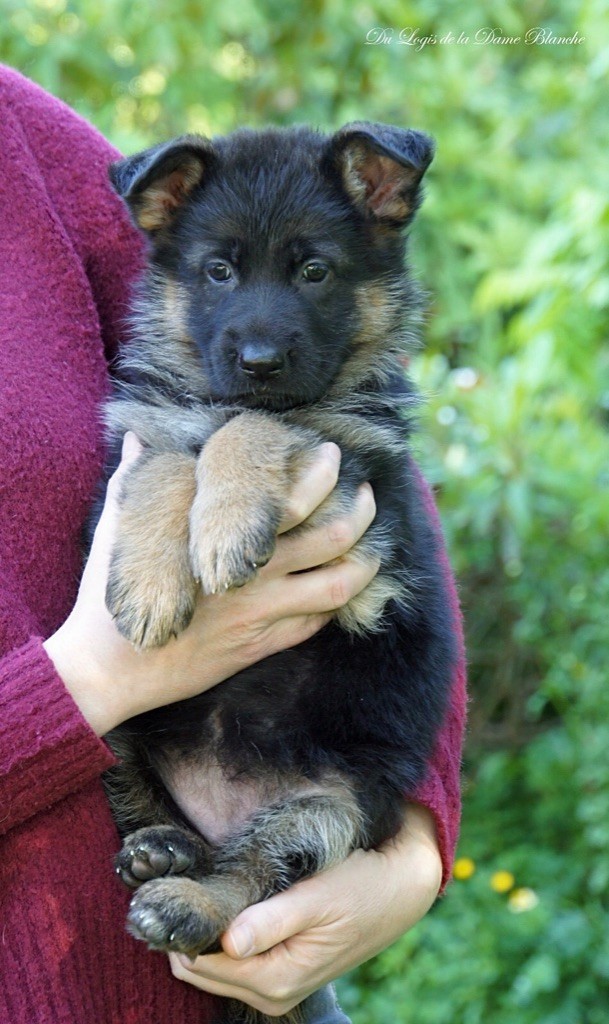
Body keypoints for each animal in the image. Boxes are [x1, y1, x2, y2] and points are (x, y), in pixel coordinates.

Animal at [103, 121, 458, 1024]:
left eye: (314, 271)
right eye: (217, 272)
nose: (259, 359)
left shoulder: (361, 491)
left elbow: (258, 427)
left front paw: (225, 522)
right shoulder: (151, 426)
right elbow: (171, 456)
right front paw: (152, 579)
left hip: (332, 805)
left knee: (255, 870)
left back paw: (187, 898)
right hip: (115, 732)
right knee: (159, 812)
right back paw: (162, 847)